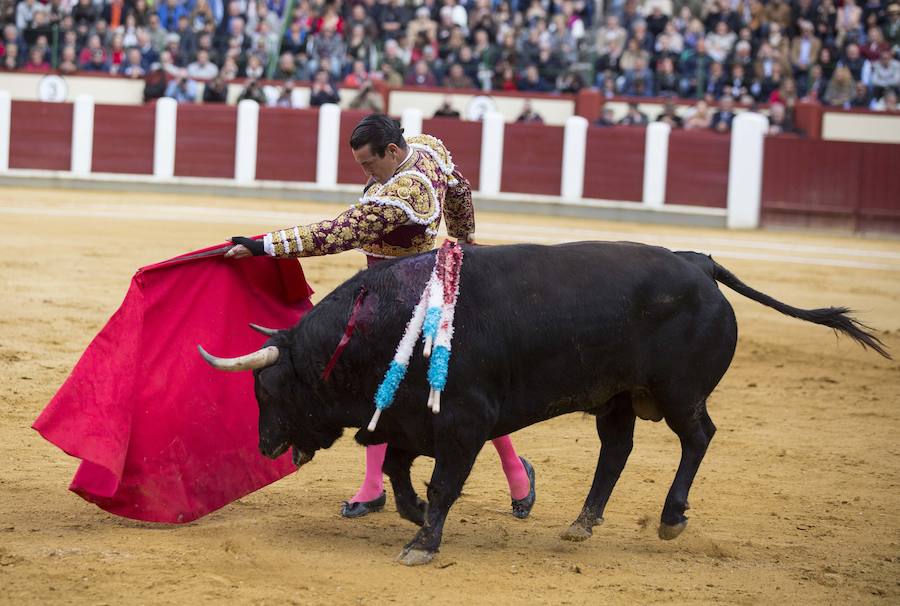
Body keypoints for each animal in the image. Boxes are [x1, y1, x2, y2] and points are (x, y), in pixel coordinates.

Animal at [195, 241, 884, 564]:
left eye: (267, 388)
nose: (265, 446)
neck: (384, 324)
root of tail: (698, 263)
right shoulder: (414, 420)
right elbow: (396, 469)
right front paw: (414, 518)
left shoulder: (463, 421)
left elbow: (442, 481)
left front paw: (424, 542)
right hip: (617, 396)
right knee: (617, 449)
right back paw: (582, 521)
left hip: (678, 392)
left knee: (697, 437)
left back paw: (671, 517)